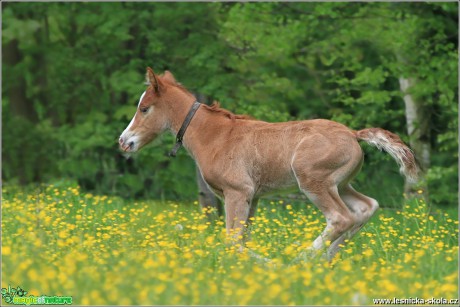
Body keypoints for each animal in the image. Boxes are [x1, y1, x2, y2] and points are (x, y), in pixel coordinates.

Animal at [119, 67, 420, 260]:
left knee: (341, 217)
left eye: (144, 108)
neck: (213, 135)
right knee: (365, 208)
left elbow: (232, 240)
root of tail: (353, 134)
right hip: (341, 184)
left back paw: (303, 259)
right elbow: (242, 238)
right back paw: (327, 259)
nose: (124, 141)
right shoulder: (253, 197)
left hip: (313, 180)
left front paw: (263, 265)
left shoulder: (237, 192)